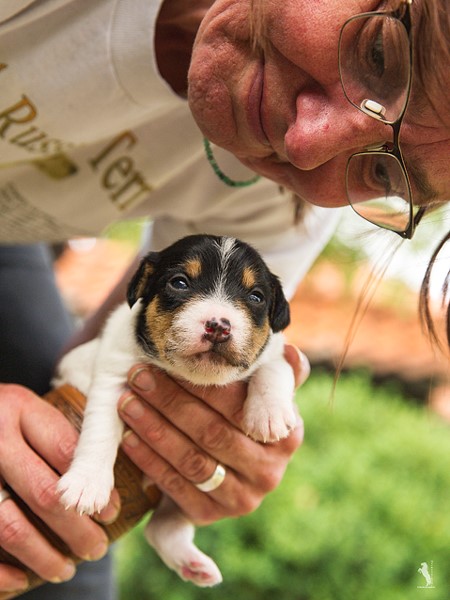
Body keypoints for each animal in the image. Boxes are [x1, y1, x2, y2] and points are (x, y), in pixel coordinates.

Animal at [54, 233, 298, 584]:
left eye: (256, 296)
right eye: (179, 282)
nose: (218, 326)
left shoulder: (275, 351)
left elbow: (276, 367)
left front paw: (269, 413)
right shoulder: (113, 374)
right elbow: (99, 433)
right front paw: (87, 484)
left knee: (163, 526)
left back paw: (193, 565)